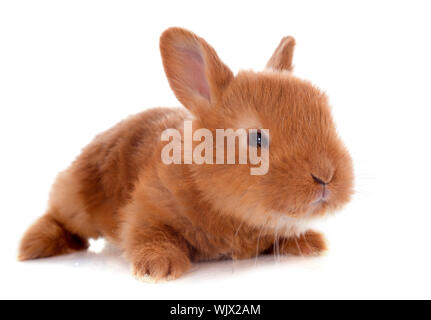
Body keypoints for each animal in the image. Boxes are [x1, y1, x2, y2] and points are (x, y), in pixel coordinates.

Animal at [17, 28, 354, 282]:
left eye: (328, 119)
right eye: (257, 138)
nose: (326, 176)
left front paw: (310, 243)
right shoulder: (146, 209)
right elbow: (149, 235)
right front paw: (158, 267)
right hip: (76, 197)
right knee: (60, 217)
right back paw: (33, 246)